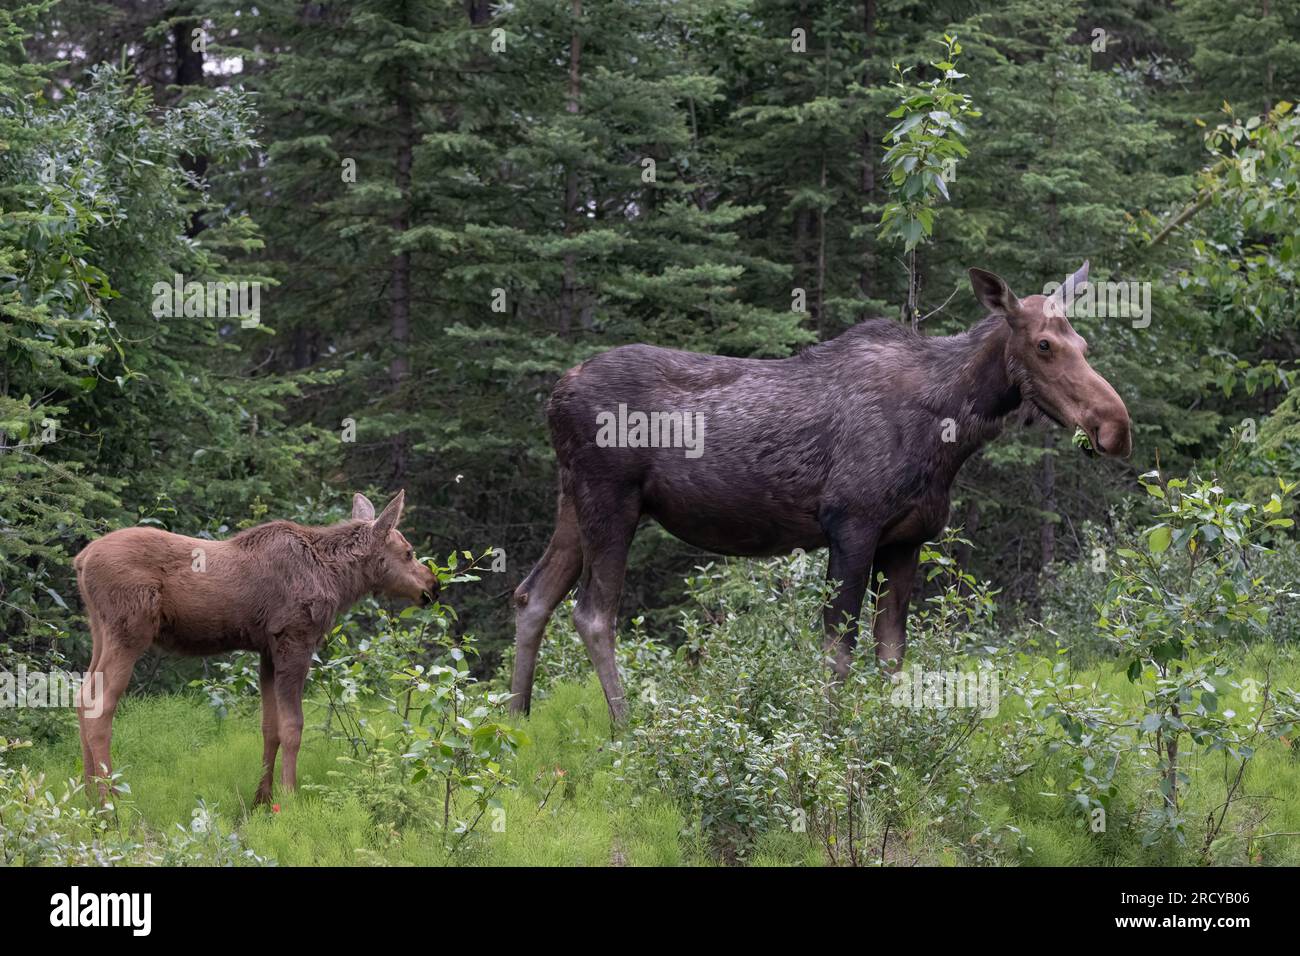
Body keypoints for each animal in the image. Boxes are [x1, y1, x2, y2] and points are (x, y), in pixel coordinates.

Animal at [512, 261, 1133, 717]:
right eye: (1045, 344)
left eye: (1083, 342)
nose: (1116, 426)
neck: (951, 433)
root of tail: (553, 396)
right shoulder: (850, 525)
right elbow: (839, 654)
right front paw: (829, 741)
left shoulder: (906, 540)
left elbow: (891, 656)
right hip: (611, 498)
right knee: (593, 614)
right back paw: (628, 727)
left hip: (573, 500)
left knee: (532, 594)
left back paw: (516, 717)